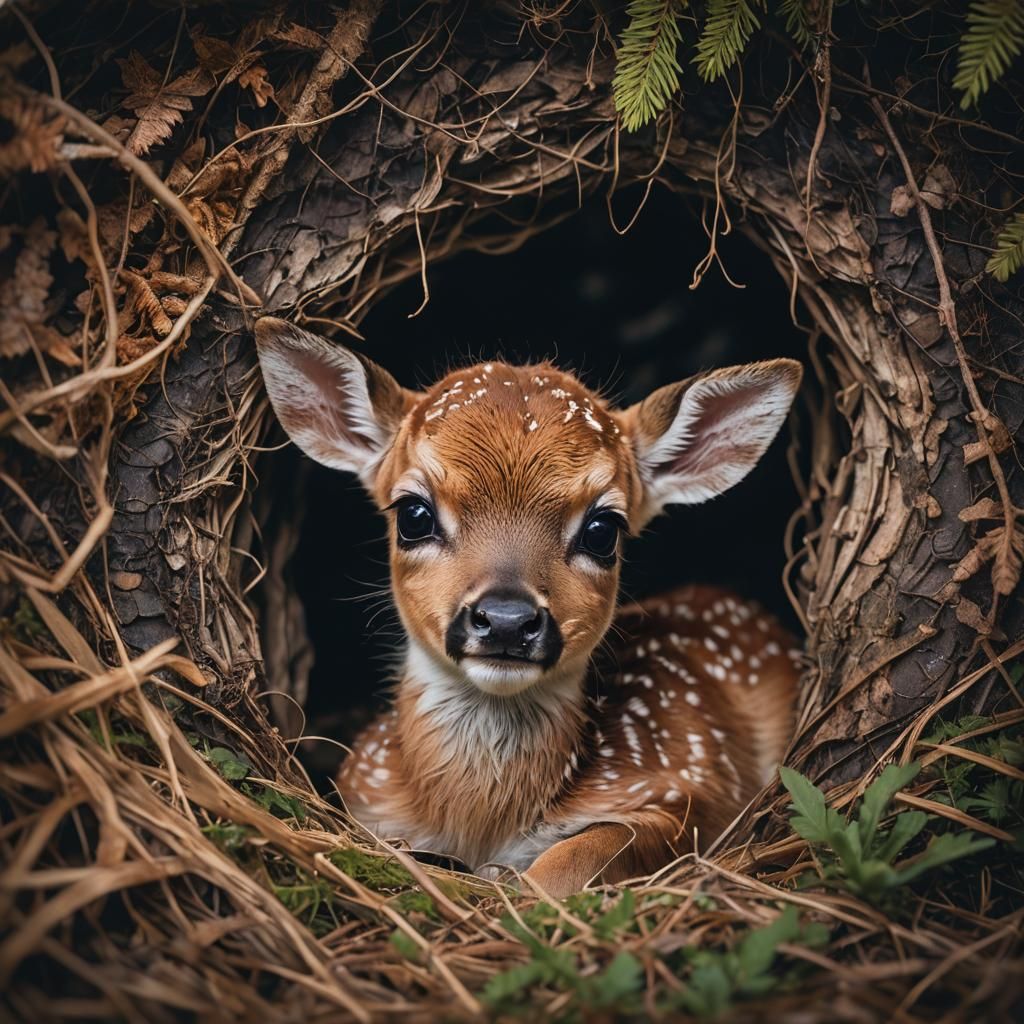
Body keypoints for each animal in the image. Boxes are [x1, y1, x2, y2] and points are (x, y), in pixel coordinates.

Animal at [256, 316, 803, 898]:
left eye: (603, 530)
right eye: (413, 514)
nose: (506, 620)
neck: (483, 824)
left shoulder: (693, 783)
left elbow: (592, 848)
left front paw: (512, 880)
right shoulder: (364, 787)